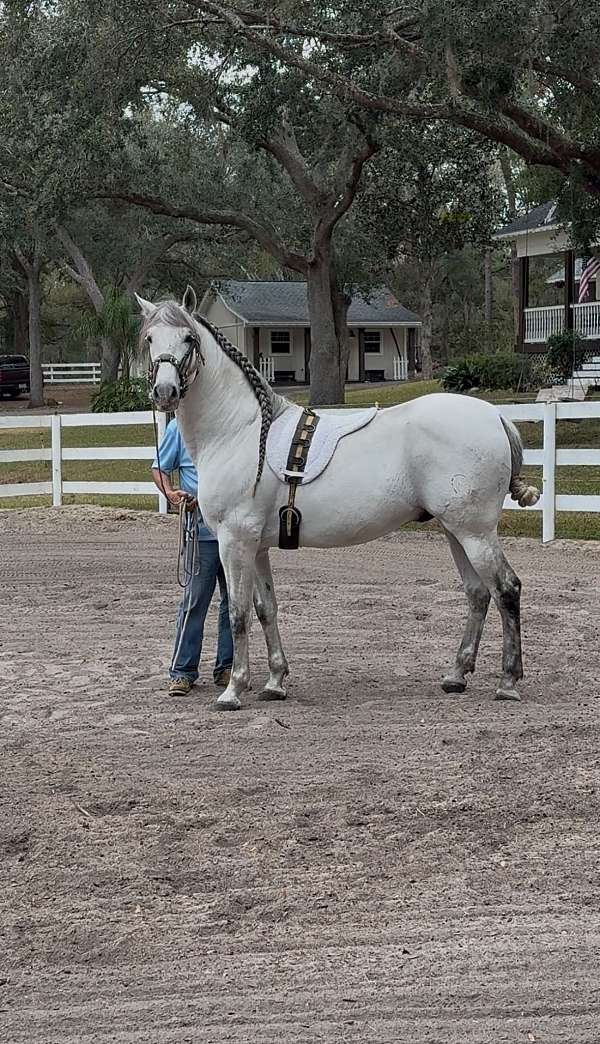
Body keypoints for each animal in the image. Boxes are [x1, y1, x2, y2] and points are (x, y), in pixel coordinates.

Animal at [137, 287, 539, 711]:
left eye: (188, 339)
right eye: (150, 339)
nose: (165, 393)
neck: (240, 430)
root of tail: (495, 416)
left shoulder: (235, 540)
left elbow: (238, 613)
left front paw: (233, 690)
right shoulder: (256, 546)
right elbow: (266, 609)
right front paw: (275, 682)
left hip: (475, 532)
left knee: (506, 589)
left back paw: (508, 681)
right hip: (455, 531)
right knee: (478, 594)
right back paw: (456, 675)